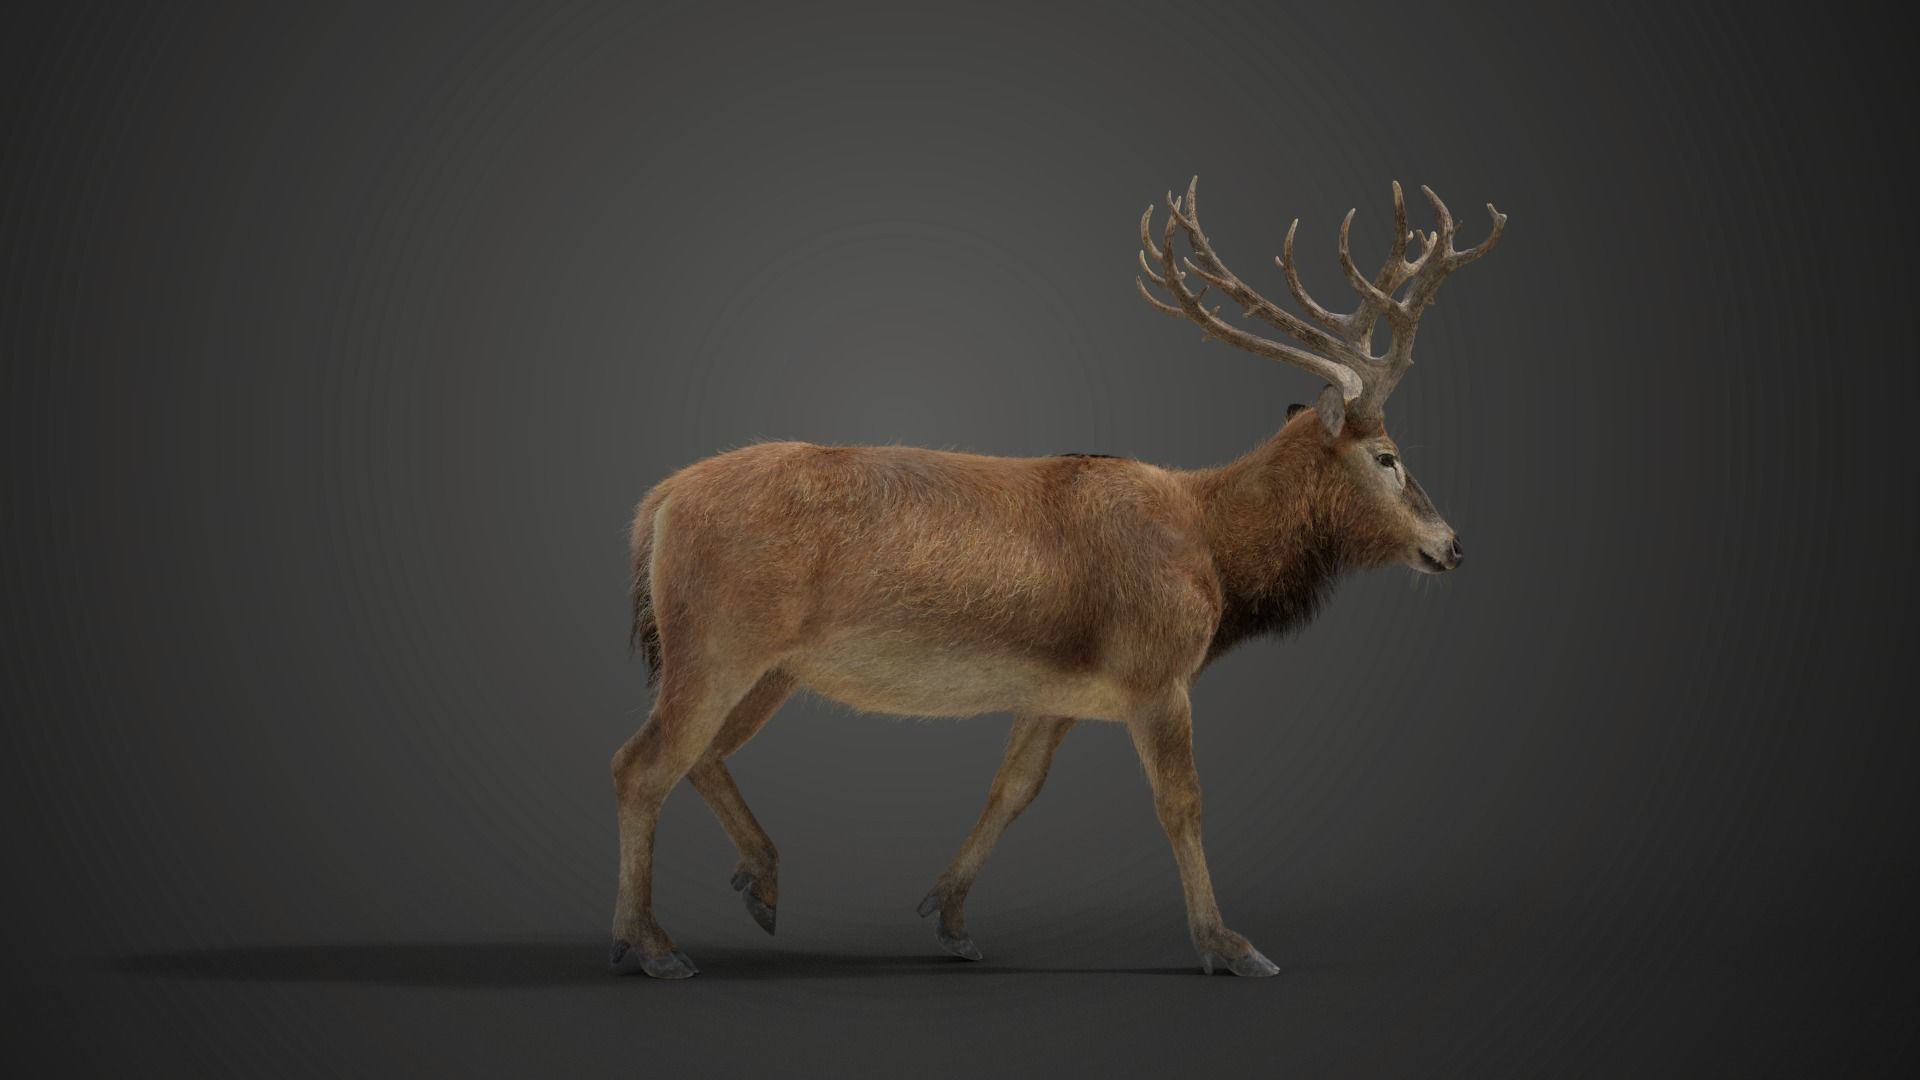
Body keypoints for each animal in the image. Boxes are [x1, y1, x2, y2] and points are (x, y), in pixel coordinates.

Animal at [610, 177, 1505, 978]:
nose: (1453, 545)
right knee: (642, 763)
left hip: (772, 667)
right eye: (1388, 457)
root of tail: (656, 505)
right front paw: (1229, 945)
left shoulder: (1055, 692)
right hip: (718, 640)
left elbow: (1011, 791)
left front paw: (951, 916)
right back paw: (648, 946)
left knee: (697, 755)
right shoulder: (1155, 671)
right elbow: (1182, 804)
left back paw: (758, 883)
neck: (1213, 554)